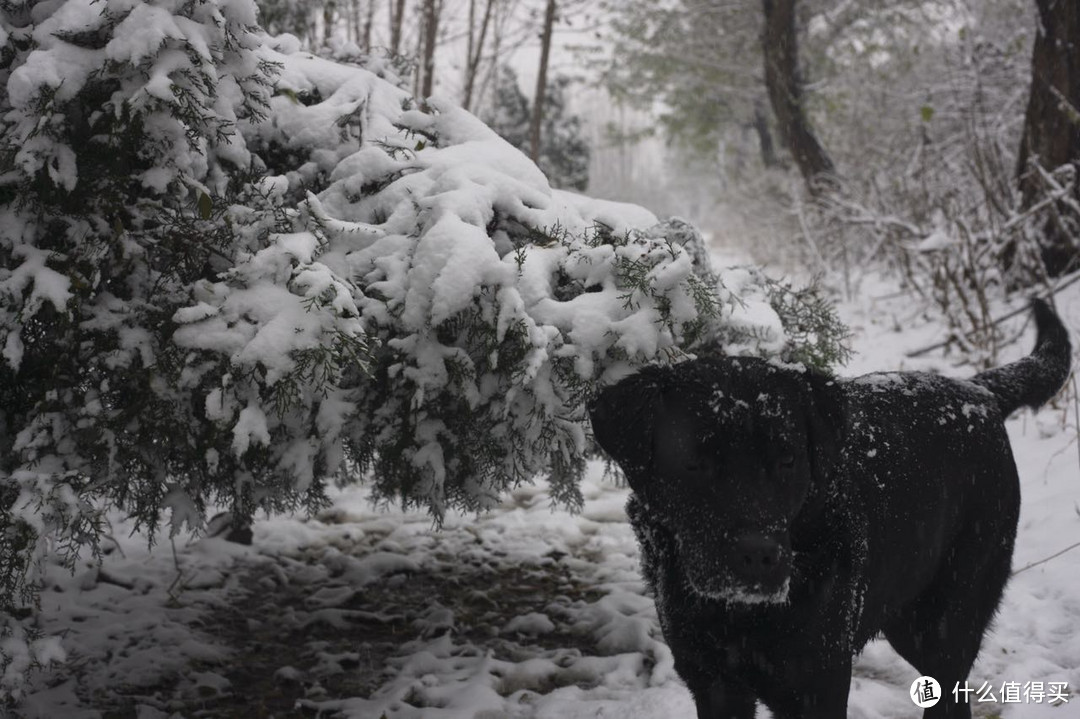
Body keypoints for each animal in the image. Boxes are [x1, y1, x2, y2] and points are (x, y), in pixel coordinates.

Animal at [591, 297, 1071, 716]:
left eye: (787, 460)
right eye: (695, 462)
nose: (759, 556)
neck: (739, 618)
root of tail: (978, 390)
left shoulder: (817, 683)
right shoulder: (713, 684)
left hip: (948, 620)